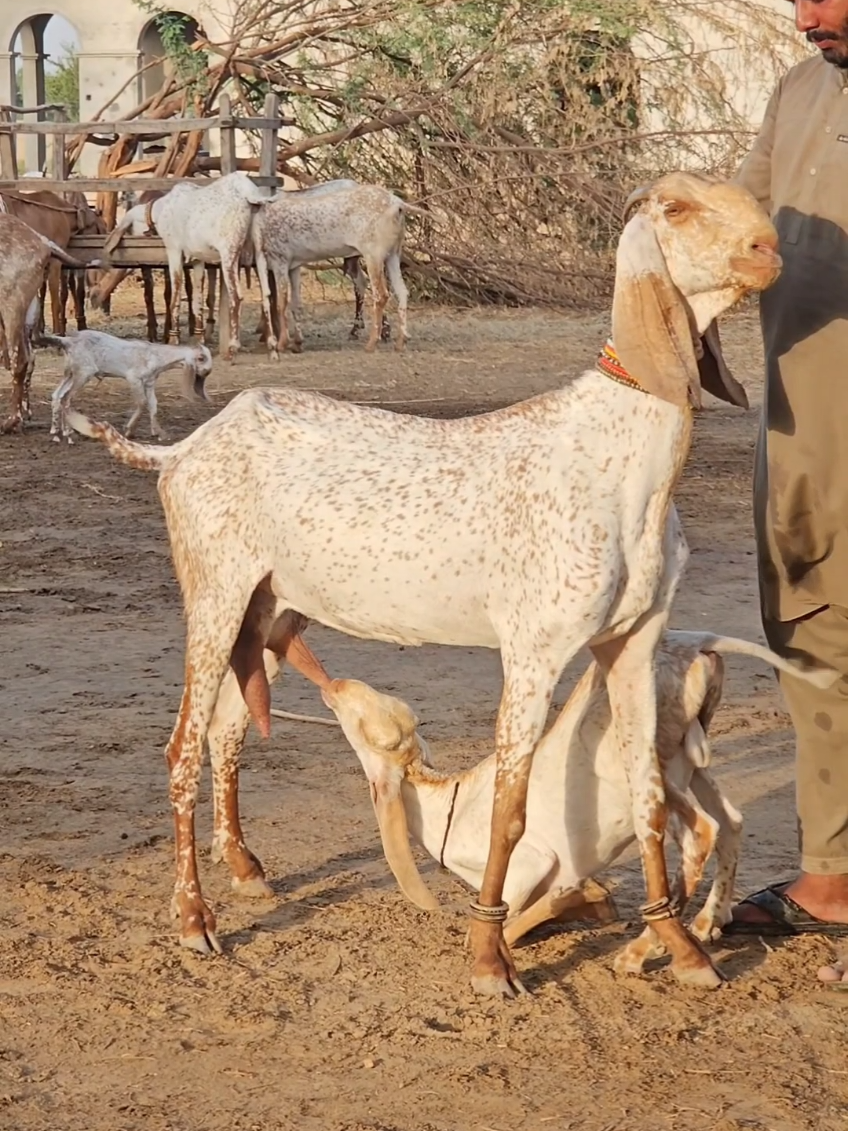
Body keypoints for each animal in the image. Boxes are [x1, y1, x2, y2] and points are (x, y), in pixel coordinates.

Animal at [0, 214, 97, 434]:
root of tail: (43, 244)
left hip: (12, 304)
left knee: (20, 360)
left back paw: (11, 422)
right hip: (26, 310)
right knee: (29, 357)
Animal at [43, 329, 211, 444]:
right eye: (201, 358)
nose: (207, 371)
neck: (156, 356)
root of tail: (68, 341)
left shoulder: (149, 382)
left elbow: (153, 404)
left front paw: (159, 433)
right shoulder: (134, 378)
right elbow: (142, 403)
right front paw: (129, 431)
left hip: (70, 373)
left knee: (57, 395)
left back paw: (56, 433)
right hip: (83, 373)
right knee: (66, 398)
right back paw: (68, 434)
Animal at [104, 172, 277, 360]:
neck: (162, 209)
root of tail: (249, 193)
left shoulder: (174, 251)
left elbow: (175, 296)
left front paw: (173, 338)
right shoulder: (198, 260)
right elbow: (197, 300)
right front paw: (200, 339)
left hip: (228, 253)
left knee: (237, 296)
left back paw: (233, 347)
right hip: (259, 251)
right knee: (266, 294)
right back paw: (272, 346)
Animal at [251, 182, 421, 358]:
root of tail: (397, 204)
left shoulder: (280, 259)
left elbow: (280, 303)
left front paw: (281, 344)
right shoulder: (294, 265)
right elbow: (294, 303)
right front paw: (296, 344)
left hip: (373, 254)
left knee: (380, 294)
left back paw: (371, 343)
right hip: (393, 254)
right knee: (401, 292)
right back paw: (400, 342)